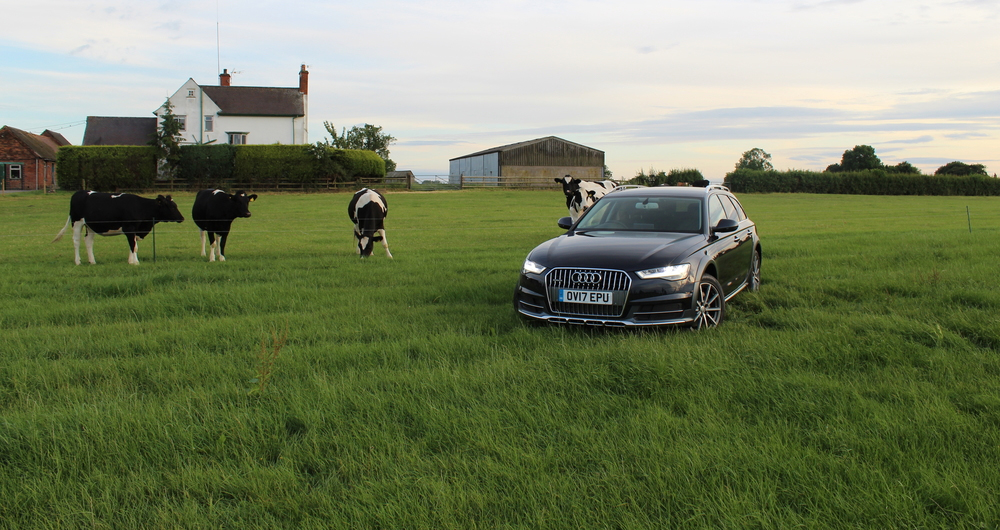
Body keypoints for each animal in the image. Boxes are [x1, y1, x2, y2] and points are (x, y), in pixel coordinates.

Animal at [52, 190, 186, 264]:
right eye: (171, 206)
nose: (182, 218)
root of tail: (79, 192)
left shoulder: (135, 230)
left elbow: (134, 245)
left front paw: (131, 261)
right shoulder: (130, 228)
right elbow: (134, 246)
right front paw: (136, 262)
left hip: (90, 226)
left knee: (88, 241)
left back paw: (92, 261)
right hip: (77, 222)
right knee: (76, 241)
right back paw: (78, 261)